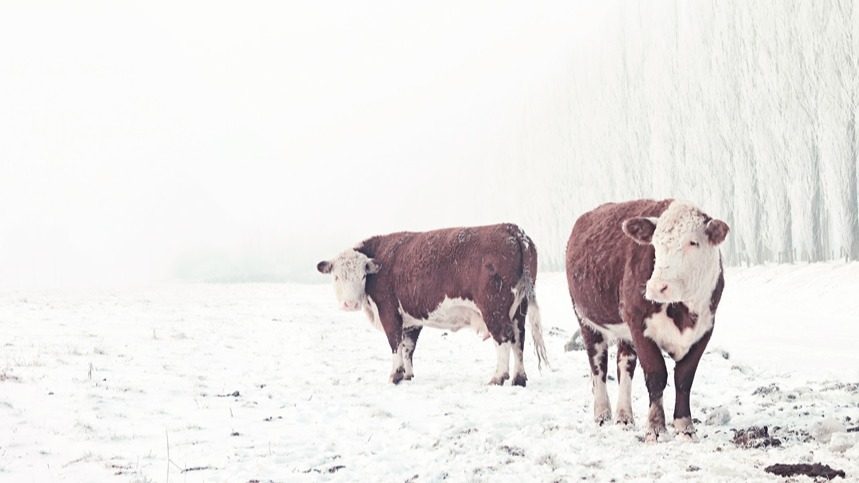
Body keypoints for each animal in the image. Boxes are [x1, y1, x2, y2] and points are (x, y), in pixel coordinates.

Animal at [318, 225, 552, 388]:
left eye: (363, 275)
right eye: (336, 277)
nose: (350, 304)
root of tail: (510, 228)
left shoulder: (388, 311)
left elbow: (395, 344)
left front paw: (395, 375)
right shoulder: (411, 320)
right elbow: (408, 347)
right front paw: (408, 375)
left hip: (493, 309)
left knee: (504, 338)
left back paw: (498, 377)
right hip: (519, 308)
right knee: (519, 339)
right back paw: (519, 379)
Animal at [568, 199, 728, 442]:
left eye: (693, 242)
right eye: (655, 244)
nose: (657, 287)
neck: (684, 312)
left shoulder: (705, 329)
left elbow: (684, 378)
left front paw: (685, 427)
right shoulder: (639, 326)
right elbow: (656, 375)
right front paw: (656, 428)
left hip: (625, 333)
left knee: (624, 367)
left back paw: (624, 416)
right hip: (586, 320)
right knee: (598, 367)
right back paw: (603, 415)